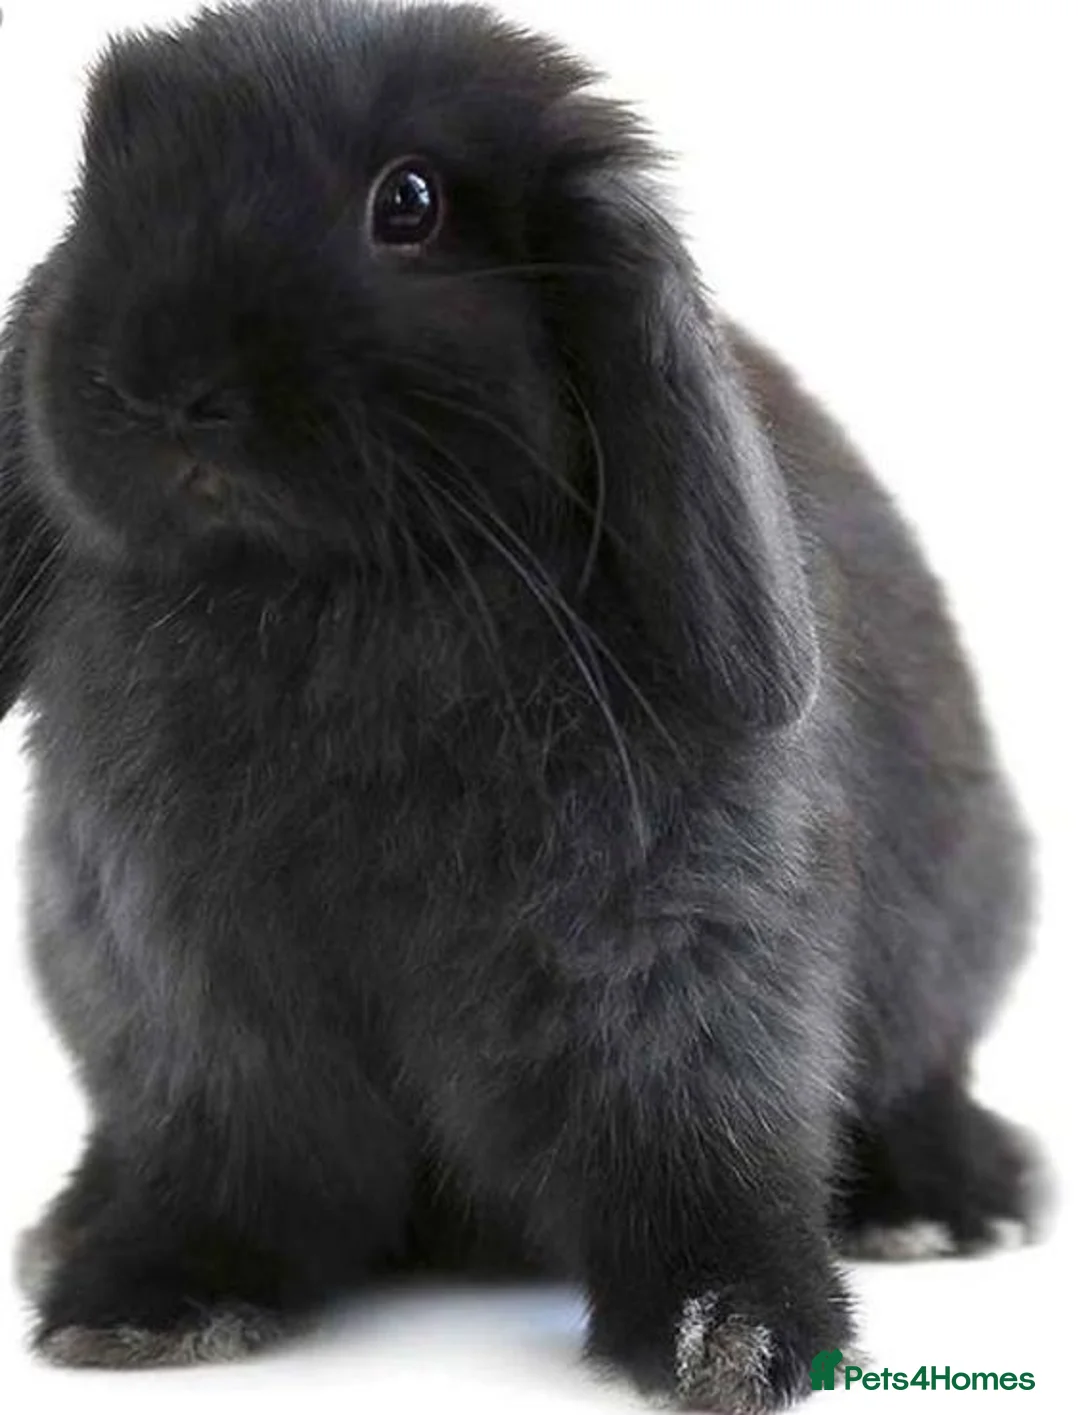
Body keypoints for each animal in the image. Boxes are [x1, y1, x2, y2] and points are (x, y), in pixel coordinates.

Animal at [0, 0, 1040, 1408]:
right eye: (94, 184)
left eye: (411, 202)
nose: (163, 384)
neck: (327, 598)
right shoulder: (184, 981)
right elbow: (232, 1145)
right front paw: (151, 1298)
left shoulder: (660, 949)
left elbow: (694, 1135)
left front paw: (738, 1333)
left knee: (918, 1074)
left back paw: (944, 1199)